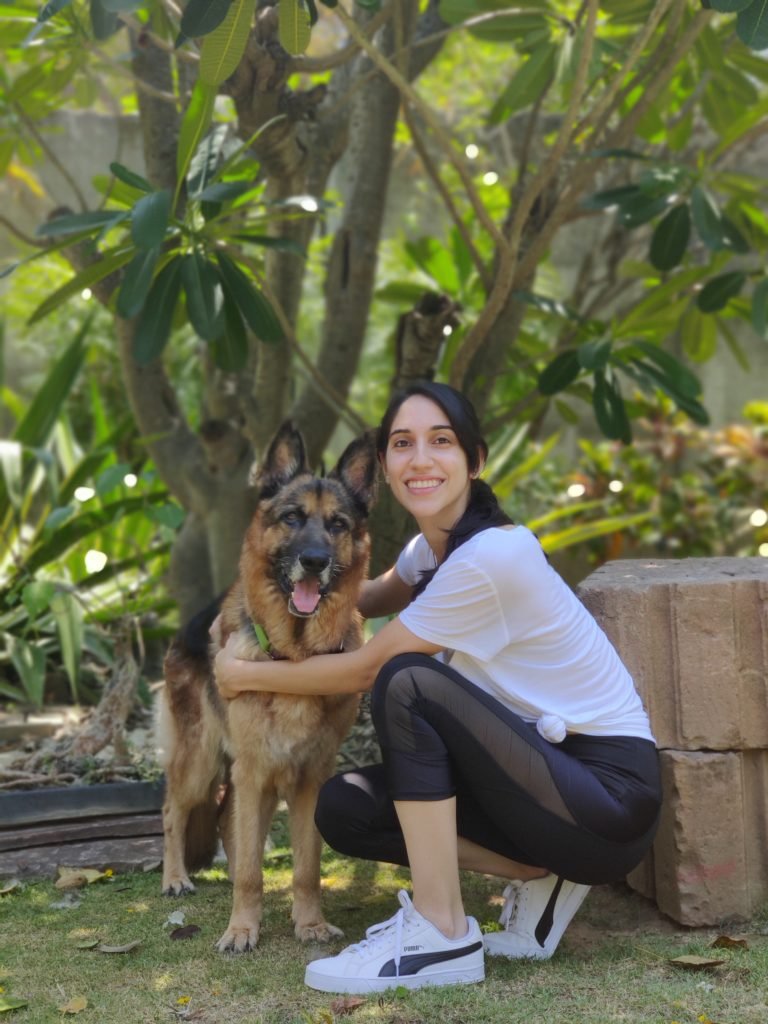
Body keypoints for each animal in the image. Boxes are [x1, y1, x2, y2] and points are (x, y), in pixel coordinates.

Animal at [159, 421, 378, 950]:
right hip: (201, 761)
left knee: (226, 822)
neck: (294, 658)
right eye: (292, 518)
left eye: (337, 524)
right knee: (173, 810)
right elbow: (249, 872)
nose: (314, 561)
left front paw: (309, 923)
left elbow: (306, 867)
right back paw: (175, 878)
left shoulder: (309, 778)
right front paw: (242, 929)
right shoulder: (255, 769)